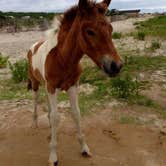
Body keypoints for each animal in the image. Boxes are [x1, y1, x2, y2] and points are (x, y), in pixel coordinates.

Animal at [27, 0, 122, 165]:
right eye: (90, 31)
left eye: (110, 29)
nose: (116, 66)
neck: (62, 58)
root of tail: (33, 46)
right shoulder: (52, 87)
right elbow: (57, 117)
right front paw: (53, 156)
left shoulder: (72, 86)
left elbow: (76, 114)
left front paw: (84, 148)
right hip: (36, 84)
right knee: (35, 101)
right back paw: (34, 124)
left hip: (46, 85)